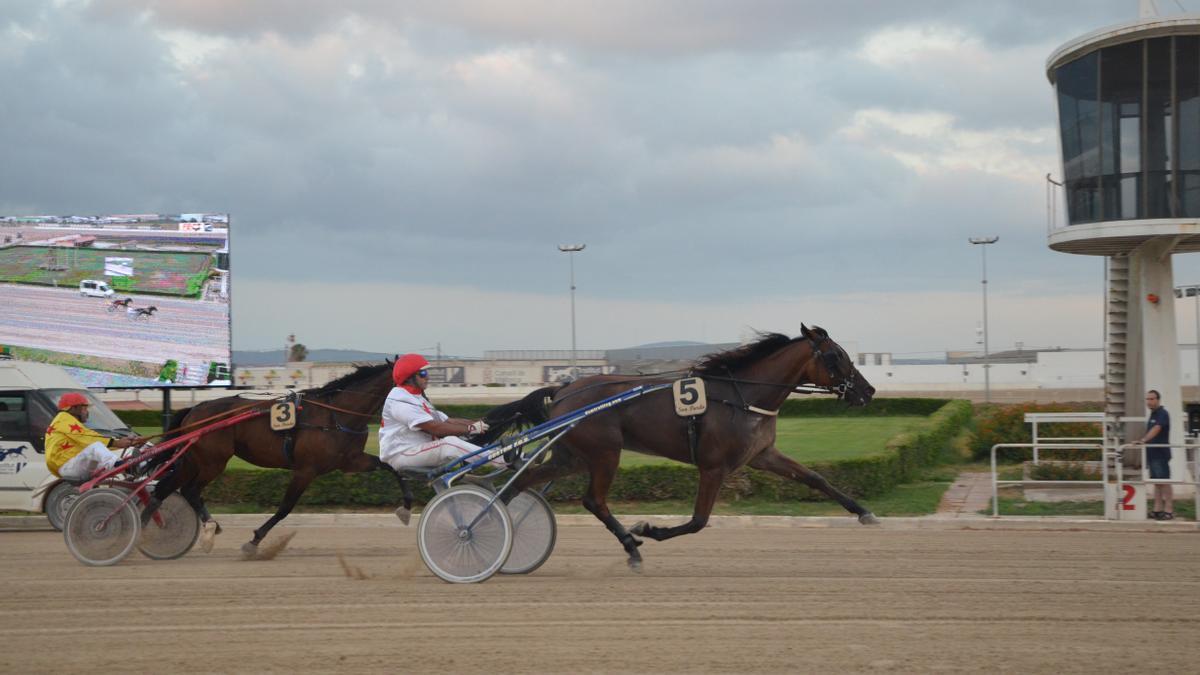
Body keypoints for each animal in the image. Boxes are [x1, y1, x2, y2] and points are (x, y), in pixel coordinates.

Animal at [143, 360, 408, 554]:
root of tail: (195, 410)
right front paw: (255, 541)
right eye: (411, 378)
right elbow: (285, 508)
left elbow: (392, 467)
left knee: (165, 489)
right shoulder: (305, 470)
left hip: (192, 461)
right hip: (212, 462)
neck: (336, 416)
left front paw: (405, 509)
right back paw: (207, 530)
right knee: (190, 490)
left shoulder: (351, 461)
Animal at [480, 324, 883, 566]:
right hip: (605, 452)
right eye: (835, 356)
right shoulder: (714, 466)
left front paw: (865, 512)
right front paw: (649, 530)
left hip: (572, 457)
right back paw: (630, 545)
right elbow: (698, 521)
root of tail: (564, 389)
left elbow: (816, 478)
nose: (868, 391)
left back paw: (487, 527)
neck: (743, 396)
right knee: (593, 500)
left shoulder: (762, 454)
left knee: (520, 482)